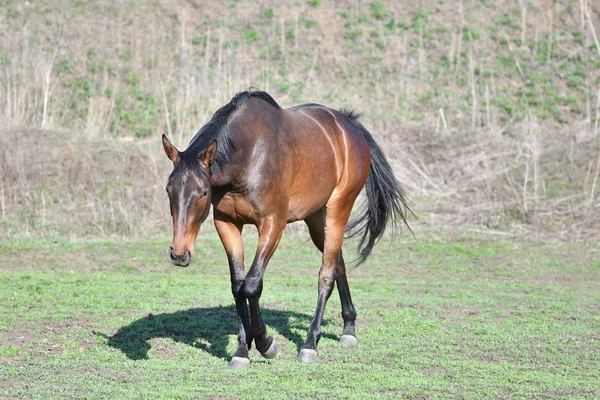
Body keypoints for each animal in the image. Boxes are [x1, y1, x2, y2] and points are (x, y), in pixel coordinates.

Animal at [162, 89, 410, 368]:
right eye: (169, 190)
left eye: (203, 192)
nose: (179, 253)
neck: (247, 158)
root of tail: (350, 126)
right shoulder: (227, 223)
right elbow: (237, 285)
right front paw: (242, 349)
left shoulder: (272, 224)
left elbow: (252, 284)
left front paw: (265, 343)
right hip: (316, 219)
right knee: (338, 263)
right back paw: (348, 328)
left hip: (338, 210)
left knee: (326, 275)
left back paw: (310, 344)